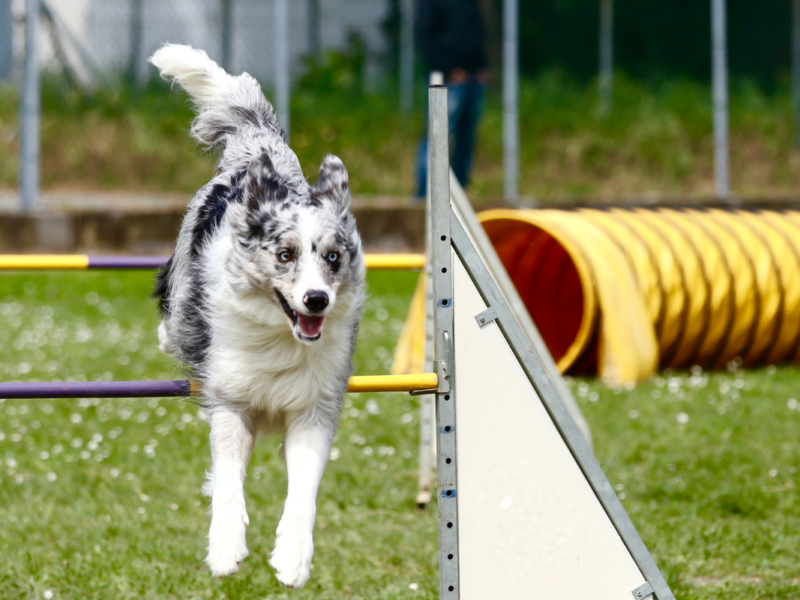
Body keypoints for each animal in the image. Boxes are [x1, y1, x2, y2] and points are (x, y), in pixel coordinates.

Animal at [149, 44, 366, 588]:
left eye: (333, 257)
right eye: (285, 255)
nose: (317, 300)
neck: (280, 337)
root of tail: (259, 149)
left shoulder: (314, 407)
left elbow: (304, 491)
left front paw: (292, 558)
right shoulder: (231, 401)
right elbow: (228, 481)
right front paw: (226, 550)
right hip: (181, 287)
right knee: (171, 319)